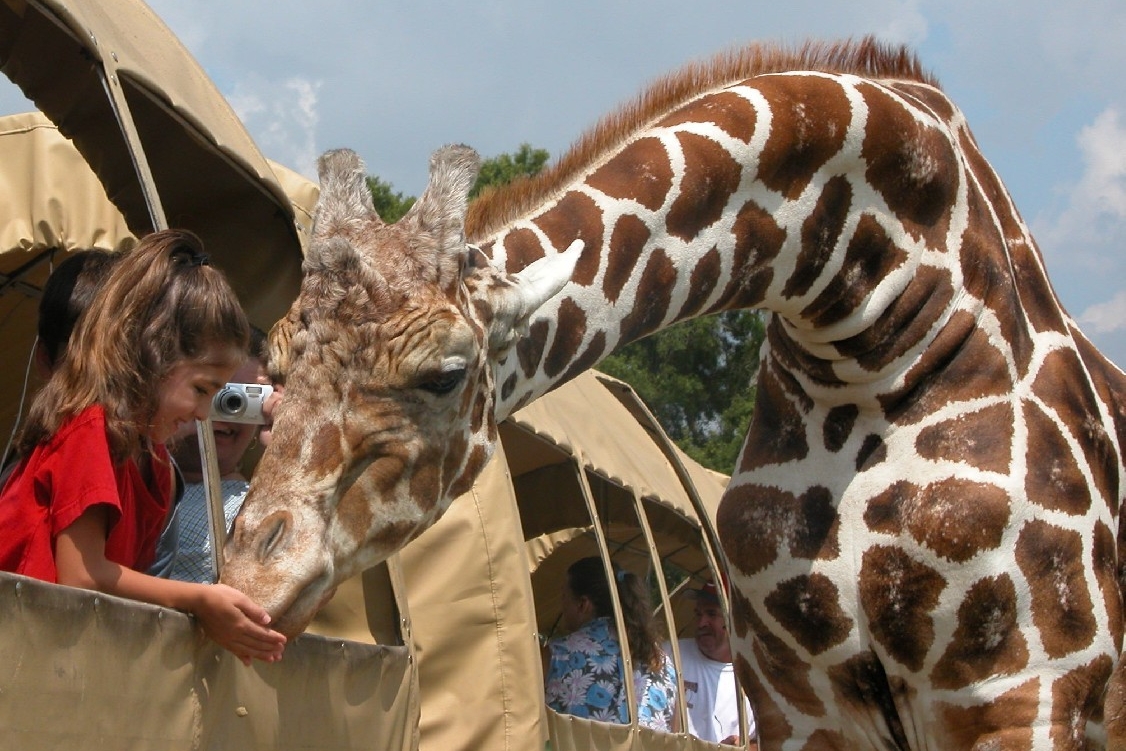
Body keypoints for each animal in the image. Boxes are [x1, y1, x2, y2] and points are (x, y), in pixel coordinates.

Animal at [219, 38, 1126, 747]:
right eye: (276, 364)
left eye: (442, 373)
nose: (249, 581)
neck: (869, 330)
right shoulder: (801, 701)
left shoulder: (1026, 690)